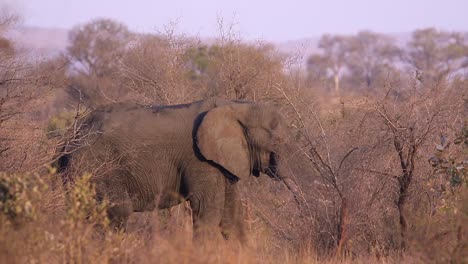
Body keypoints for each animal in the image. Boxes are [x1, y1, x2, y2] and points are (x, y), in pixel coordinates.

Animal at [55, 97, 296, 243]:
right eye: (278, 142)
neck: (235, 106)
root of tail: (69, 138)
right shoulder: (200, 159)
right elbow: (207, 209)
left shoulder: (222, 163)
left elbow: (231, 214)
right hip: (95, 168)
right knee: (117, 212)